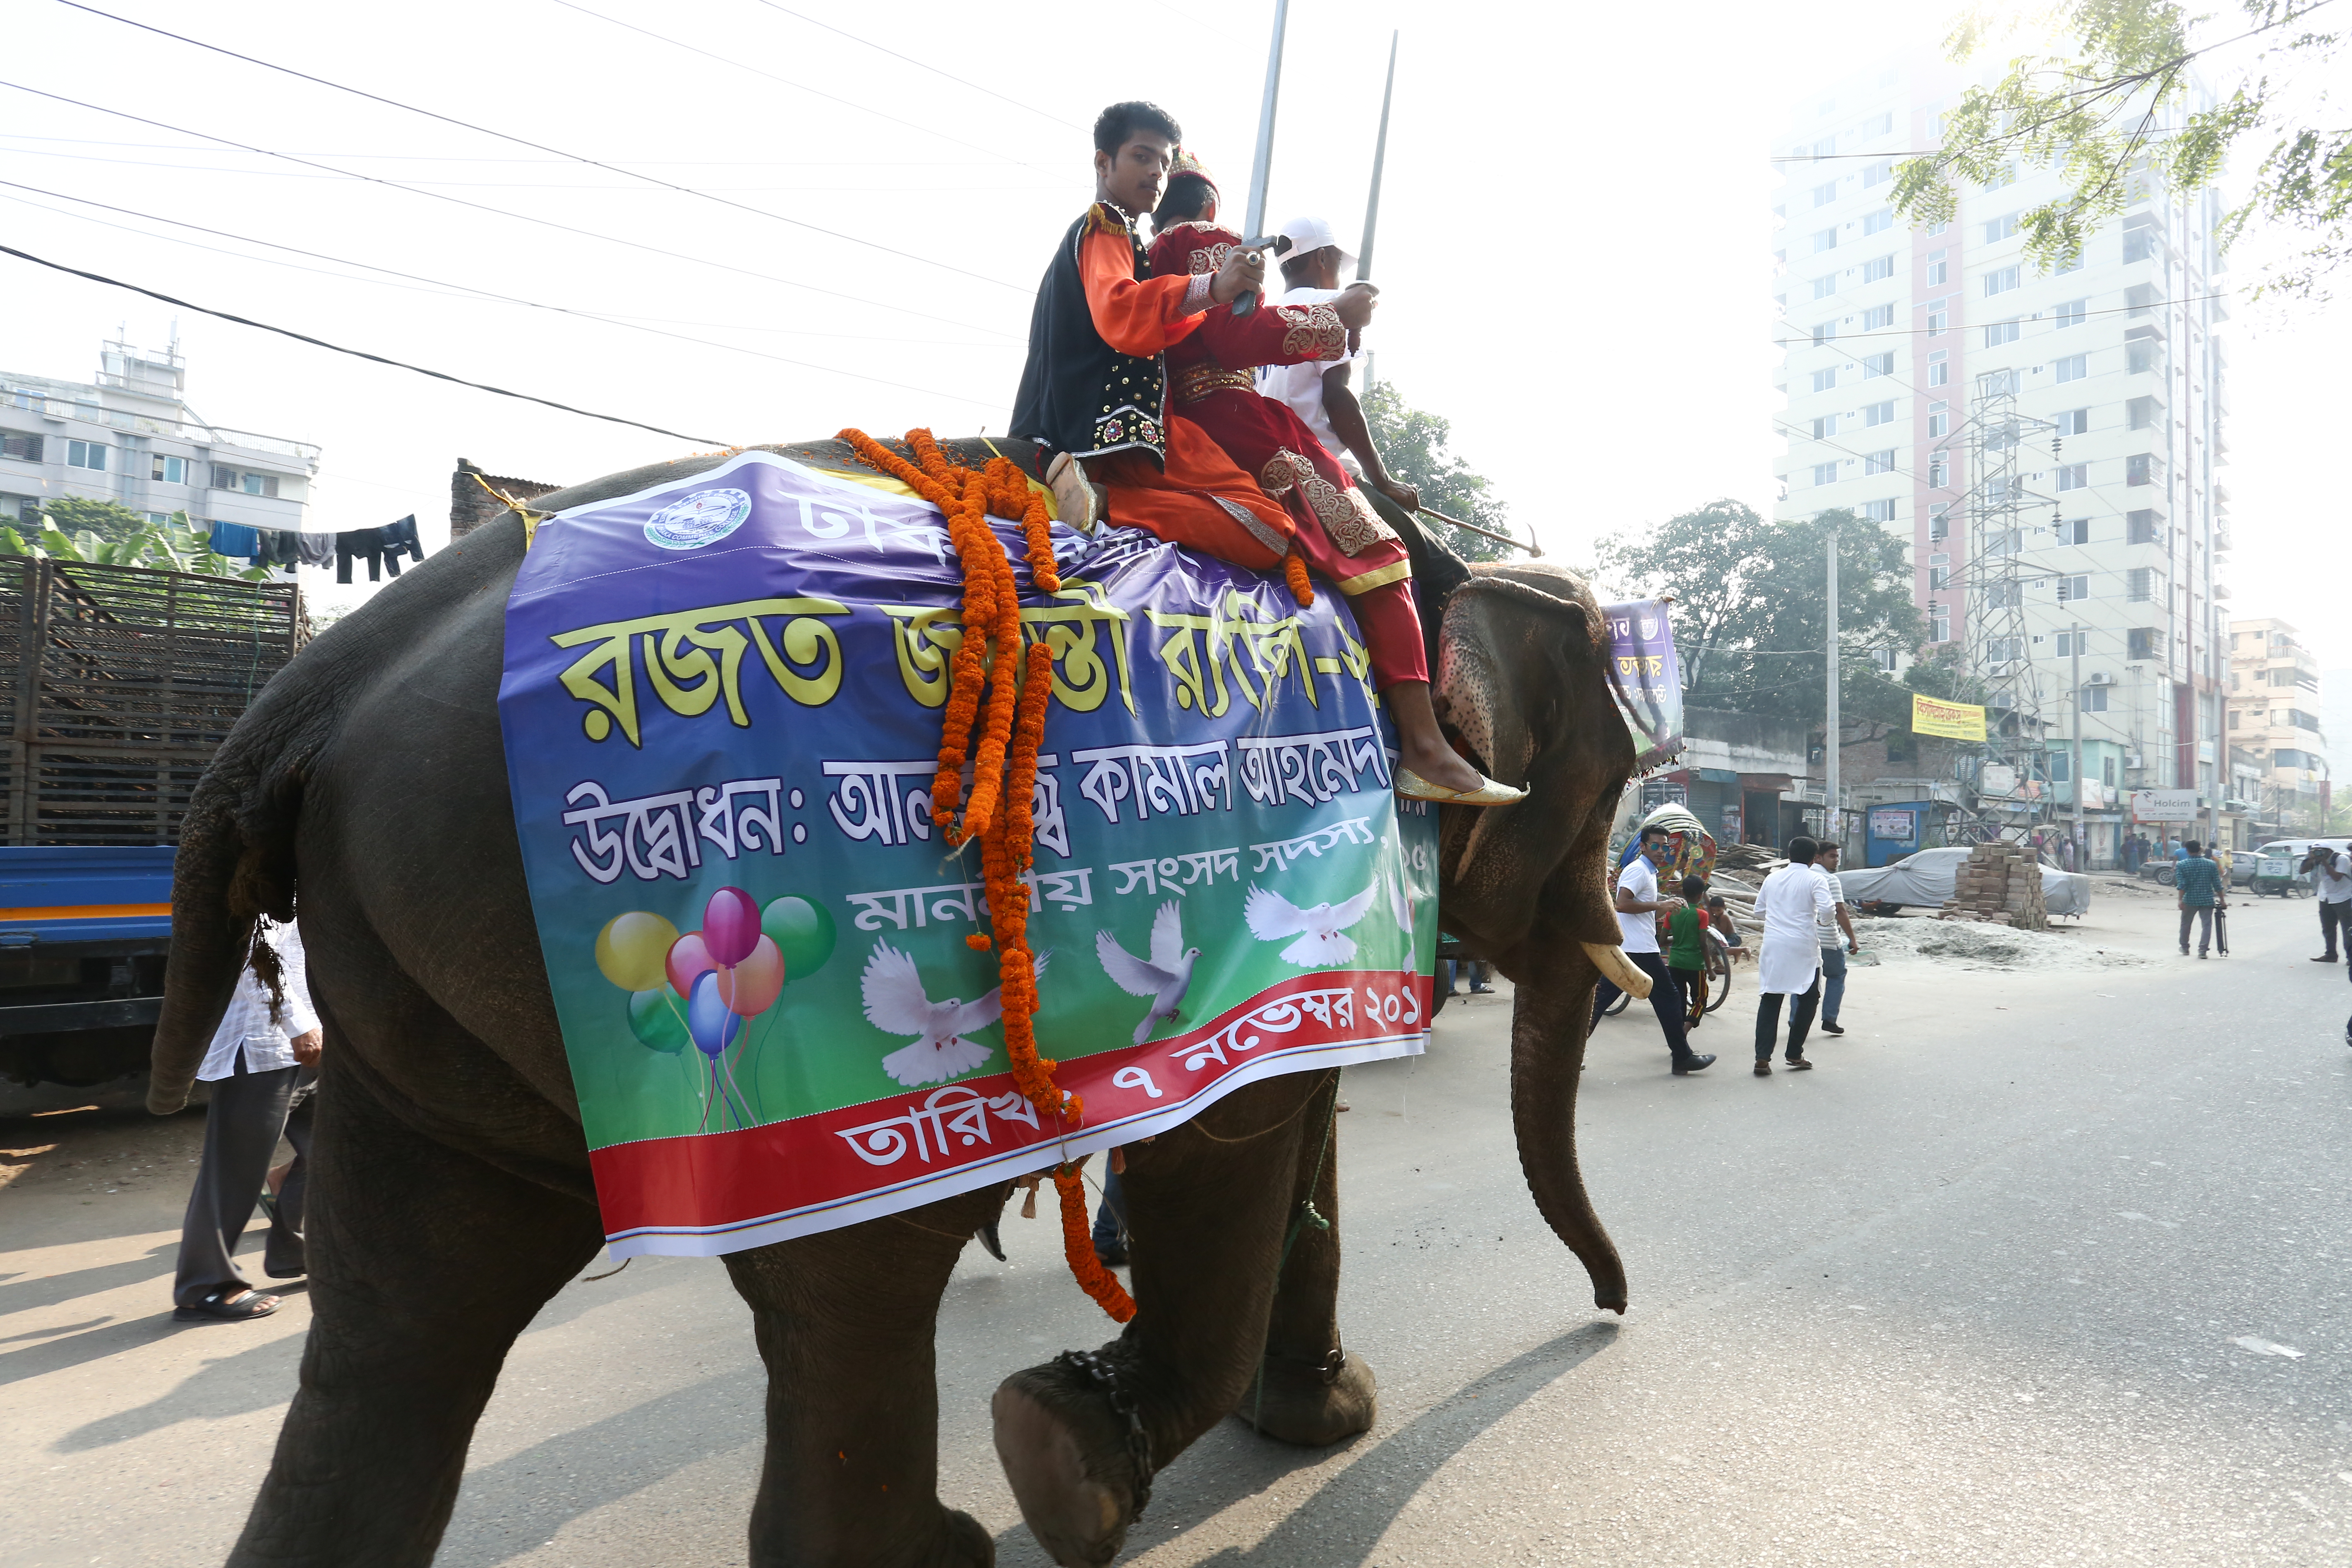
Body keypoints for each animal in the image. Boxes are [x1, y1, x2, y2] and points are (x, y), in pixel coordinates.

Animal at [147, 439, 1646, 1568]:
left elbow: (1289, 1115)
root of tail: (312, 691)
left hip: (402, 985)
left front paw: (1314, 1417)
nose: (1611, 1311)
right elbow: (1237, 1147)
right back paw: (947, 1542)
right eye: (1615, 778)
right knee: (852, 1287)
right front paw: (1075, 1458)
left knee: (393, 1322)